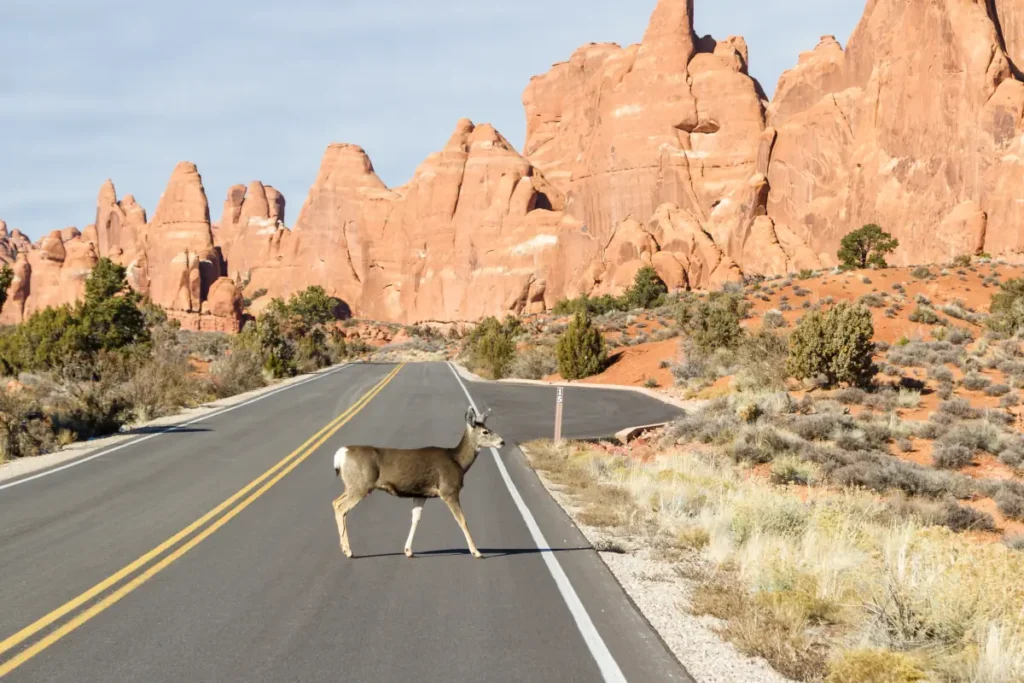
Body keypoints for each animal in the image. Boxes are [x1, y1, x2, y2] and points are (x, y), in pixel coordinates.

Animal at [331, 406, 504, 559]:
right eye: (485, 431)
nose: (502, 442)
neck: (458, 462)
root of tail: (341, 454)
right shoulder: (448, 490)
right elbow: (462, 519)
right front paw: (476, 552)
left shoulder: (421, 494)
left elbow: (415, 519)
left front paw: (408, 550)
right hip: (361, 485)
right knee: (341, 507)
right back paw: (348, 551)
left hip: (351, 485)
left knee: (335, 502)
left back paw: (343, 547)